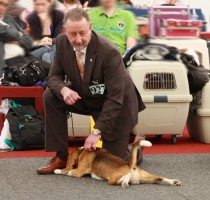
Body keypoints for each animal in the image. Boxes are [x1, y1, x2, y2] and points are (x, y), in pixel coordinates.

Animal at [54, 140, 182, 188]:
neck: (82, 151)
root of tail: (131, 166)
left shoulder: (78, 172)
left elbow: (67, 171)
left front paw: (58, 170)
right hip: (147, 177)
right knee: (159, 178)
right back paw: (174, 182)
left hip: (112, 179)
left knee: (120, 179)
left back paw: (125, 182)